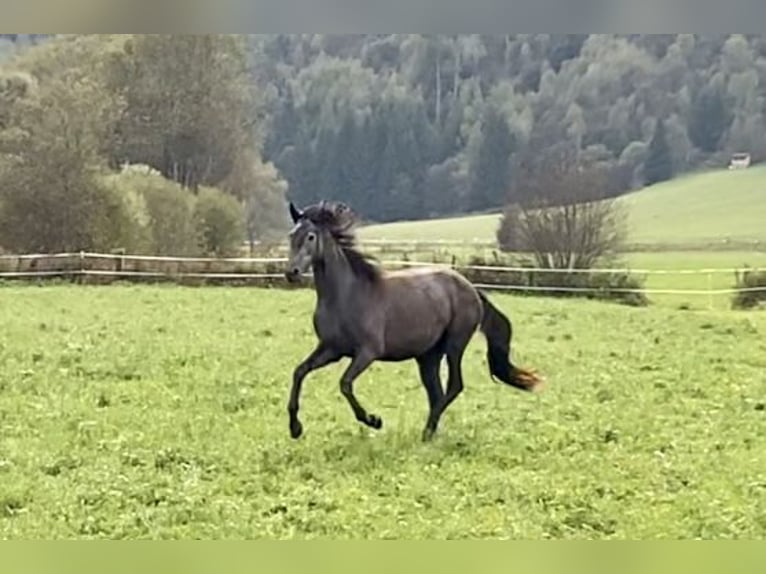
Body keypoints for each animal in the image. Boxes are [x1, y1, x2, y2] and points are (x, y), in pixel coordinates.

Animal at [284, 200, 544, 444]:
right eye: (291, 235)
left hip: (454, 345)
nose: (291, 272)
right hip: (428, 356)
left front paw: (374, 420)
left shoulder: (368, 351)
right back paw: (429, 433)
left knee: (453, 387)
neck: (346, 295)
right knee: (437, 393)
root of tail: (471, 288)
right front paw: (295, 428)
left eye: (311, 236)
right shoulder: (331, 349)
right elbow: (299, 371)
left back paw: (426, 431)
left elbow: (345, 383)